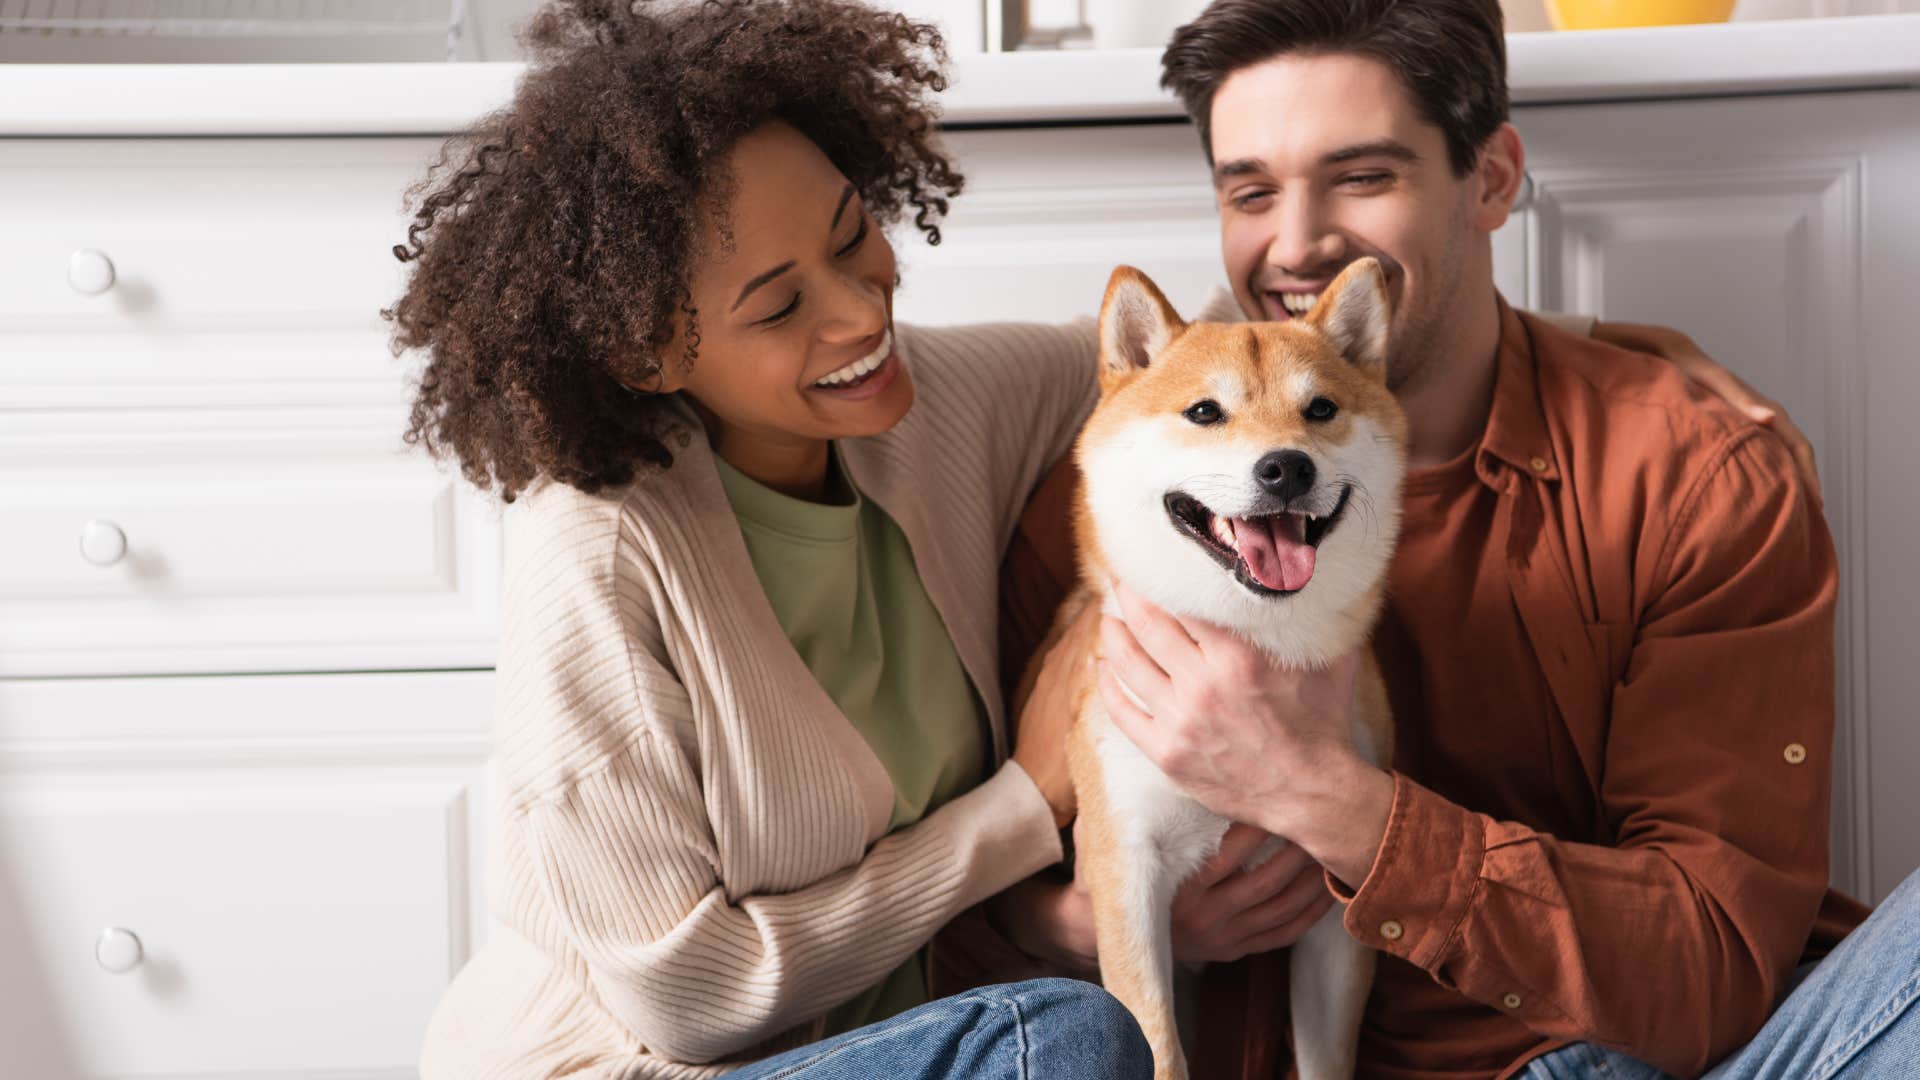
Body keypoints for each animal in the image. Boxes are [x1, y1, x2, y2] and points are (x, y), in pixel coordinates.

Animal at [1044, 259, 1405, 1076]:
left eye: (1321, 409)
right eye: (1204, 412)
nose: (1286, 467)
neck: (1250, 644)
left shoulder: (1334, 904)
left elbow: (1327, 1057)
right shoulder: (1127, 877)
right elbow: (1157, 1048)